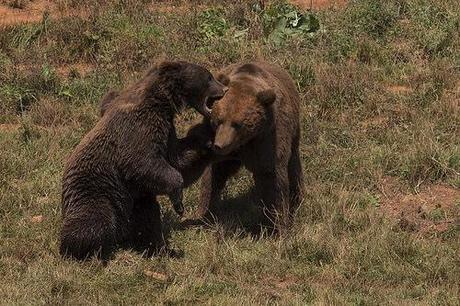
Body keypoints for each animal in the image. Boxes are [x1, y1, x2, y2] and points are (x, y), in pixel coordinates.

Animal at [60, 61, 226, 260]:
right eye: (209, 77)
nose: (224, 89)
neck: (162, 102)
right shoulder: (138, 129)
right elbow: (143, 162)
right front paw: (179, 204)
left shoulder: (166, 129)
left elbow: (178, 160)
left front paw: (209, 139)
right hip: (95, 190)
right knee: (94, 220)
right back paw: (86, 250)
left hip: (134, 198)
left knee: (147, 218)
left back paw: (156, 248)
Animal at [196, 61, 304, 231]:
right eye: (219, 120)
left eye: (237, 124)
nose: (219, 146)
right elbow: (214, 174)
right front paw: (205, 213)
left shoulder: (269, 136)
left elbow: (271, 176)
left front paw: (277, 224)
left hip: (293, 130)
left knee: (293, 164)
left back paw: (297, 198)